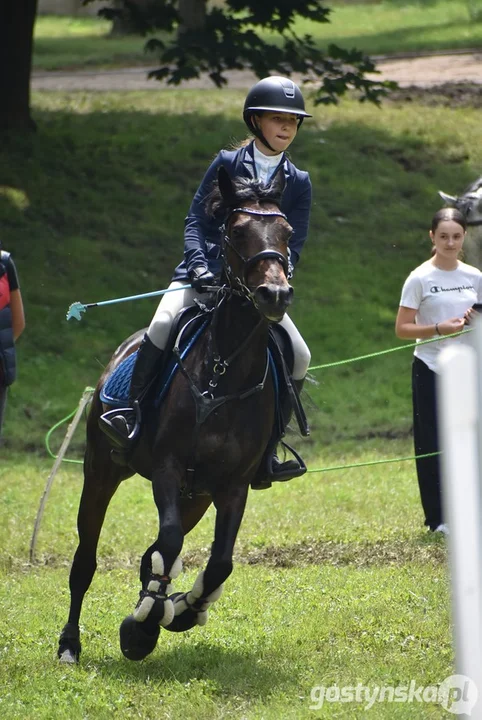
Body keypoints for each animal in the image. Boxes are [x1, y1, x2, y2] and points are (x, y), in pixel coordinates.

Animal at [58, 167, 296, 664]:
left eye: (287, 232)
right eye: (235, 230)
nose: (275, 294)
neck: (223, 370)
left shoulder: (232, 485)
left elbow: (217, 561)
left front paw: (181, 610)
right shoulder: (167, 467)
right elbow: (167, 543)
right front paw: (145, 624)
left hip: (196, 495)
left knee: (158, 551)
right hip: (101, 470)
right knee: (86, 558)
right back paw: (70, 643)